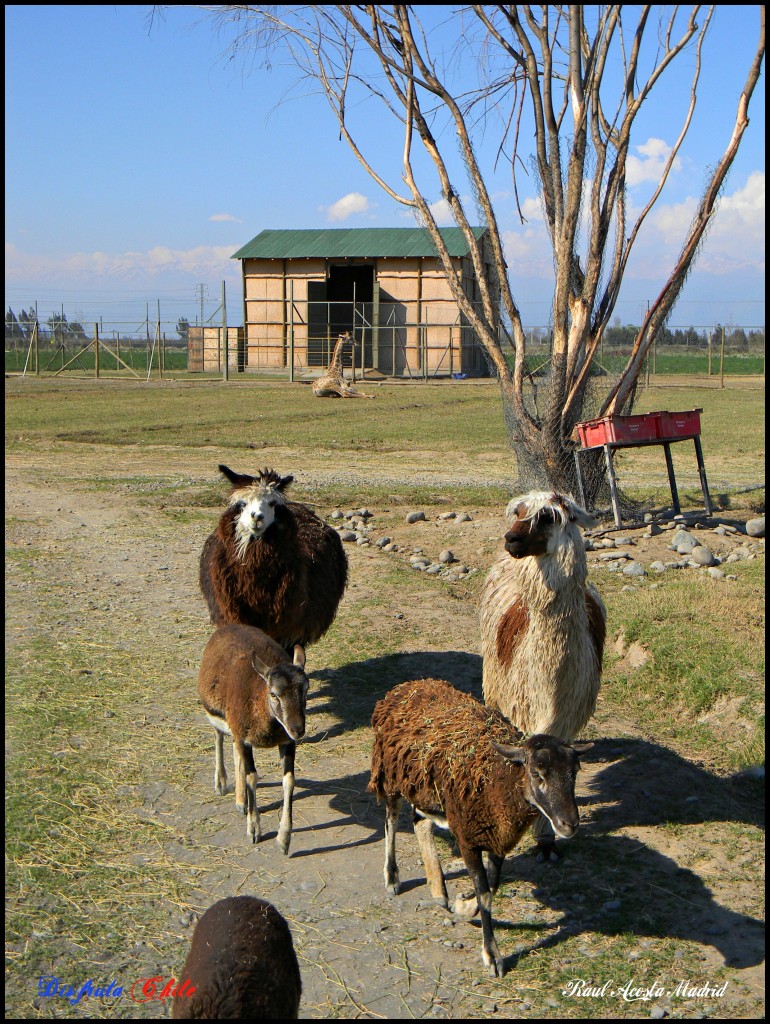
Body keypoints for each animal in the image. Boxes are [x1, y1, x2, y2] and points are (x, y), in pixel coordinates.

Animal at [198, 466, 348, 663]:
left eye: (272, 503)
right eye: (242, 503)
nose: (257, 517)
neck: (255, 588)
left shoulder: (287, 627)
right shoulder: (236, 615)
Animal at [366, 679, 589, 974]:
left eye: (575, 773)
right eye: (536, 773)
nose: (569, 824)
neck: (499, 780)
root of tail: (410, 684)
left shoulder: (499, 838)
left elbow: (491, 888)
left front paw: (464, 906)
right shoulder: (467, 839)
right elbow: (485, 894)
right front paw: (492, 955)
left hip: (425, 788)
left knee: (420, 822)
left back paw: (438, 888)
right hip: (390, 774)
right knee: (391, 820)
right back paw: (392, 877)